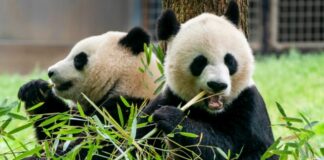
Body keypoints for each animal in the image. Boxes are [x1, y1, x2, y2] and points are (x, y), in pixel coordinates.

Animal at [17, 26, 159, 158]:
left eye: (79, 59)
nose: (50, 72)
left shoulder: (127, 110)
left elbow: (96, 144)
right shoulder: (82, 113)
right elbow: (57, 129)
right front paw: (34, 91)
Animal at [135, 1, 278, 160]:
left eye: (230, 61)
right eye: (199, 62)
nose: (217, 85)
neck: (211, 112)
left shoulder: (248, 106)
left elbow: (225, 148)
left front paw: (171, 118)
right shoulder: (170, 97)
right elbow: (140, 137)